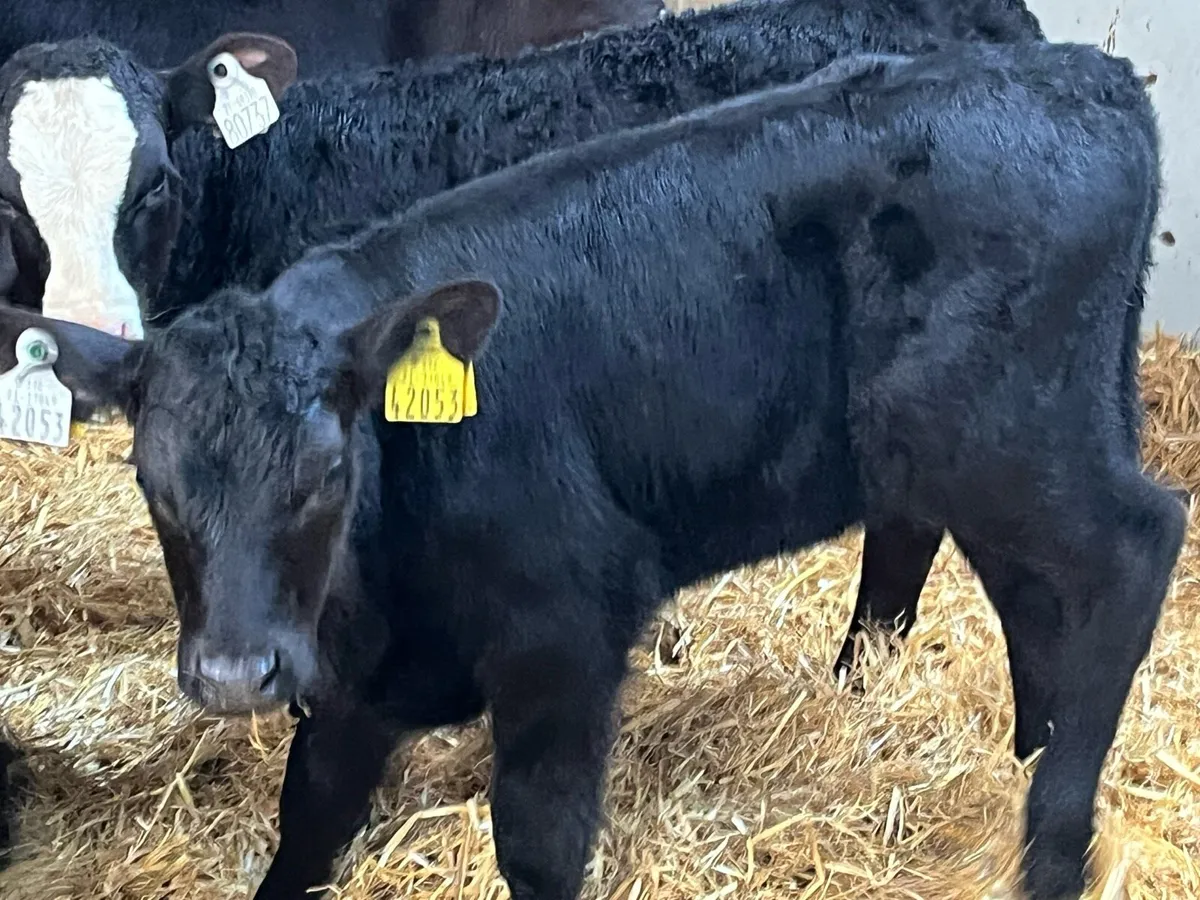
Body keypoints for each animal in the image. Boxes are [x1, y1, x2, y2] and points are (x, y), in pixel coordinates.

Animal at [0, 37, 1181, 900]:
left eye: (330, 472)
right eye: (152, 484)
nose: (237, 675)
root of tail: (1083, 71)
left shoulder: (564, 640)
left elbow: (538, 847)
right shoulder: (348, 686)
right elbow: (308, 828)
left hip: (1008, 435)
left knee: (1134, 548)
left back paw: (1054, 850)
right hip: (979, 452)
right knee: (1034, 600)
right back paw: (1027, 766)